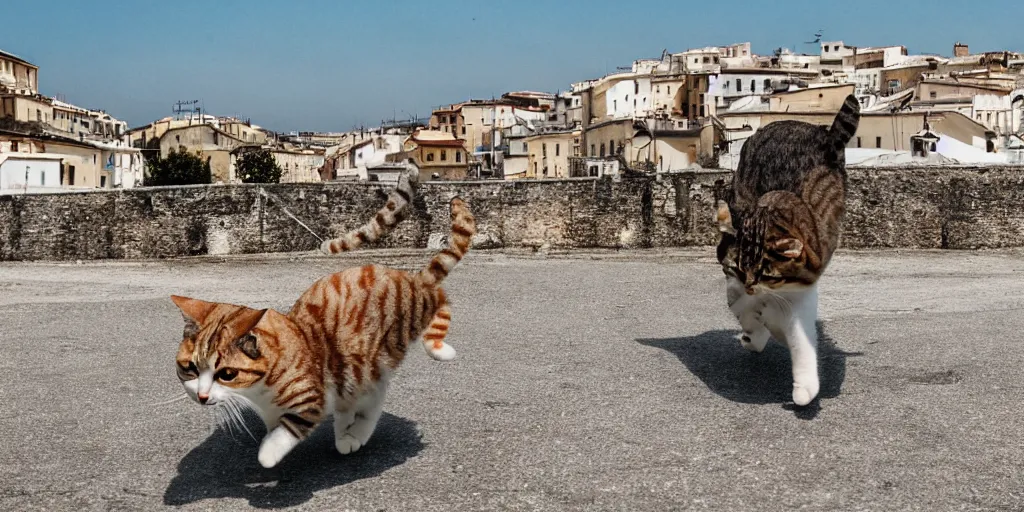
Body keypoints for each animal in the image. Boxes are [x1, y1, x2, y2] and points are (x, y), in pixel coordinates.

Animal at [173, 189, 475, 468]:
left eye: (227, 374)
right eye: (189, 367)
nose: (201, 396)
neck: (259, 391)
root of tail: (410, 279)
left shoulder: (311, 398)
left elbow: (286, 432)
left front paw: (269, 452)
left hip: (405, 322)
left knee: (441, 300)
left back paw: (438, 350)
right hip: (363, 367)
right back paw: (349, 433)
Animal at [716, 94, 860, 405]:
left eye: (766, 274)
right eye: (738, 268)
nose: (750, 287)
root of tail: (820, 134)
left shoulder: (802, 287)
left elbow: (799, 337)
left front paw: (804, 387)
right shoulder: (734, 280)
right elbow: (742, 308)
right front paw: (754, 328)